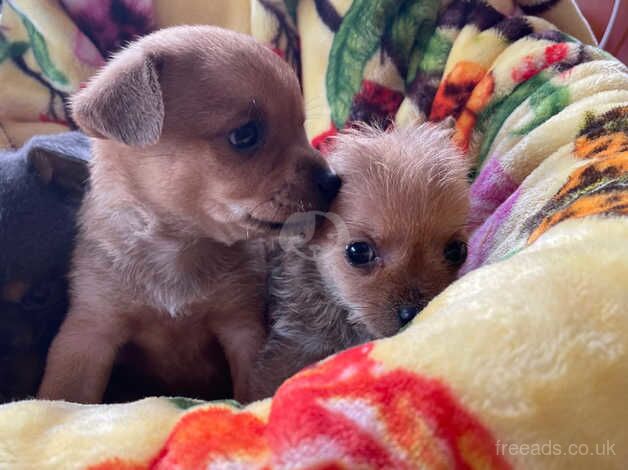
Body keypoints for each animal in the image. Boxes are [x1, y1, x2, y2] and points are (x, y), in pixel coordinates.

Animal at [36, 23, 340, 402]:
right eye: (245, 135)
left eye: (301, 126)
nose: (332, 181)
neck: (177, 247)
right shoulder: (90, 329)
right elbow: (63, 393)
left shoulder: (242, 326)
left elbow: (249, 386)